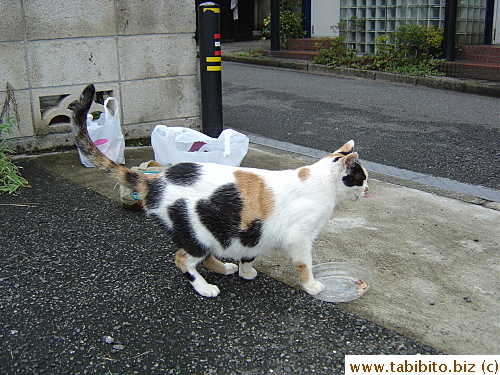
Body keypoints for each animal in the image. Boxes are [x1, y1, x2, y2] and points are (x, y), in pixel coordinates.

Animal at [75, 83, 372, 298]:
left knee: (204, 258)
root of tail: (156, 179)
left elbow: (249, 253)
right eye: (361, 177)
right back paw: (204, 287)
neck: (320, 182)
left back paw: (223, 268)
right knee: (182, 259)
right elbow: (304, 264)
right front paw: (312, 286)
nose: (369, 189)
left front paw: (246, 271)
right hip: (196, 234)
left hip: (211, 231)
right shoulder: (299, 237)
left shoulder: (252, 232)